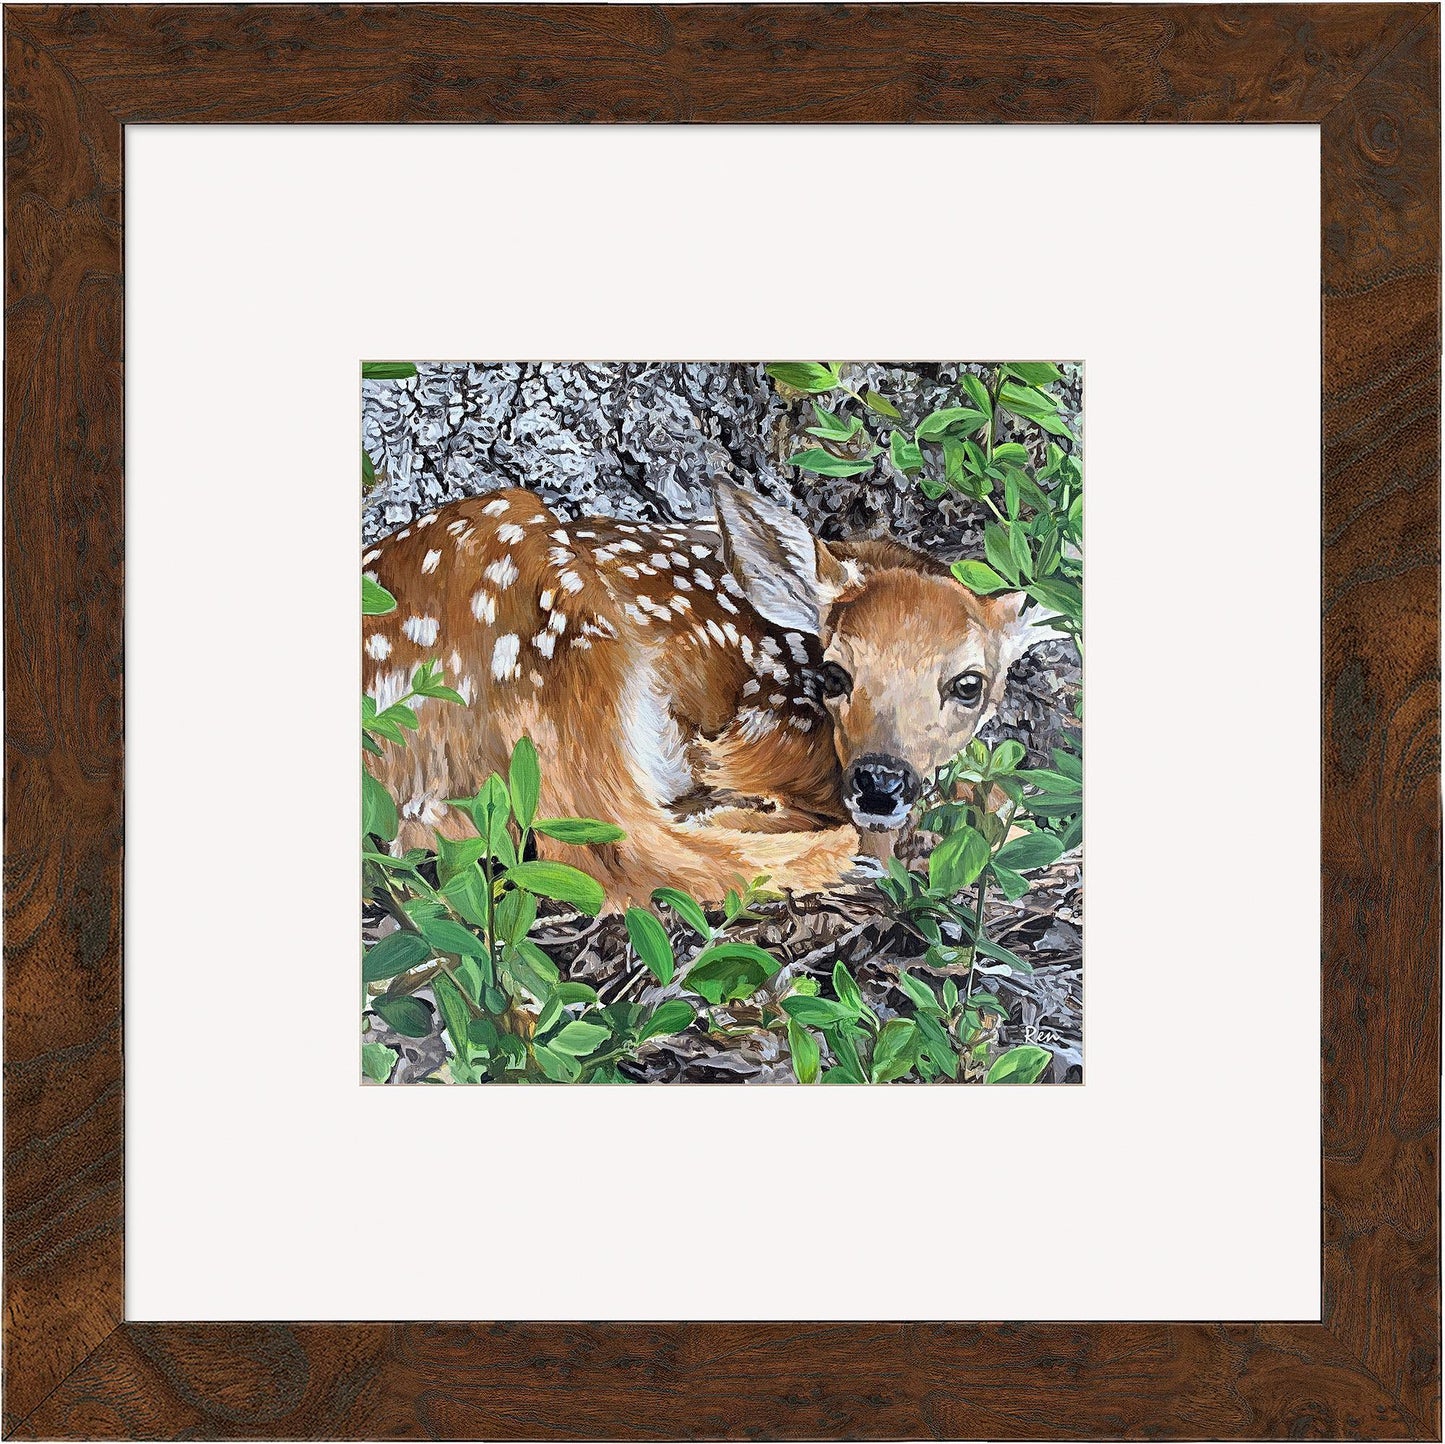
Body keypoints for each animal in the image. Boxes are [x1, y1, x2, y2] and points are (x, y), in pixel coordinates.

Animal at [362, 480, 1067, 910]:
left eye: (968, 685)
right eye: (836, 675)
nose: (879, 782)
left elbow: (996, 793)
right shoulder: (755, 729)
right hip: (558, 645)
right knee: (617, 853)